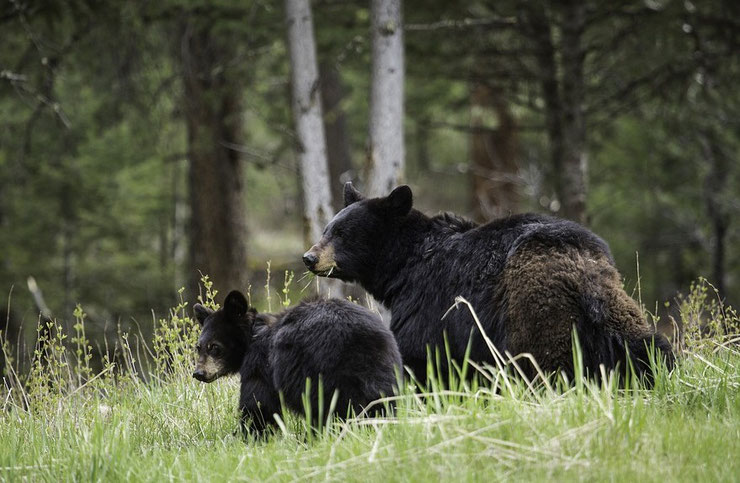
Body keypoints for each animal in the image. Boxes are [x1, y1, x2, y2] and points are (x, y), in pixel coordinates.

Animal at [191, 294, 398, 436]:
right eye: (198, 347)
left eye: (214, 347)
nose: (198, 373)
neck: (253, 335)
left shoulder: (261, 363)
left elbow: (259, 405)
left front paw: (247, 435)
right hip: (385, 368)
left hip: (321, 372)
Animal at [304, 184, 672, 386]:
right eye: (327, 228)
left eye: (342, 234)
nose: (309, 257)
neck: (404, 266)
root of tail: (582, 270)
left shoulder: (429, 301)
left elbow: (419, 354)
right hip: (616, 309)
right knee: (647, 346)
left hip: (535, 309)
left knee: (543, 363)